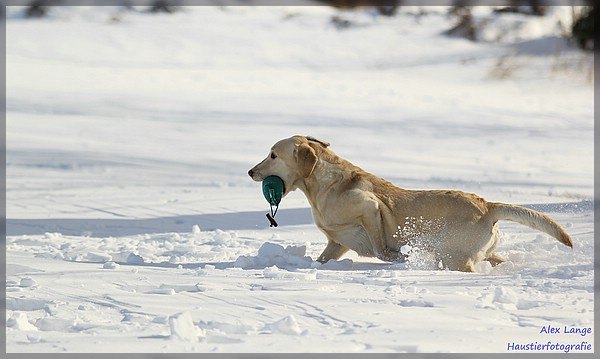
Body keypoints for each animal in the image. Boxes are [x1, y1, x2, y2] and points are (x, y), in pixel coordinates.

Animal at [247, 136, 572, 272]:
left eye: (273, 155)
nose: (250, 171)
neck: (321, 184)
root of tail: (488, 205)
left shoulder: (371, 208)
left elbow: (382, 249)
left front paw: (400, 257)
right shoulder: (336, 244)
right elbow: (323, 258)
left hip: (455, 256)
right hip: (484, 253)